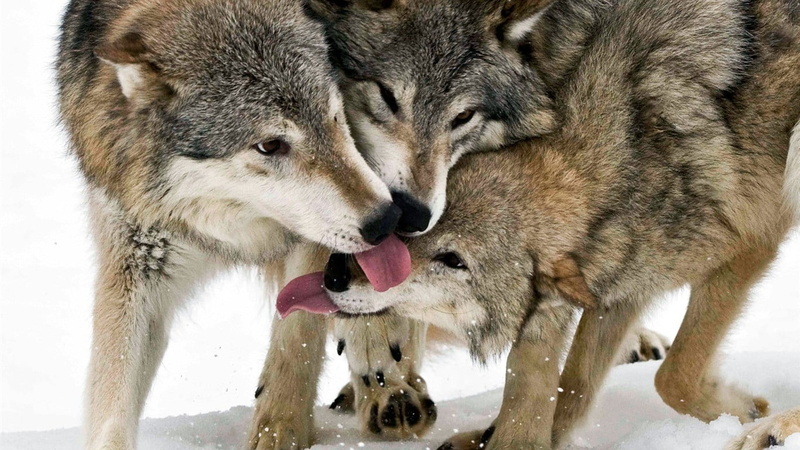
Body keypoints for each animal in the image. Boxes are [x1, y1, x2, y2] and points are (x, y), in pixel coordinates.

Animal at [56, 0, 413, 448]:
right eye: (270, 145)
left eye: (334, 117)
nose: (385, 220)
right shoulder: (136, 261)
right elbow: (111, 401)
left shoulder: (315, 240)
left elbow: (295, 339)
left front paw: (280, 430)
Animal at [279, 0, 800, 448]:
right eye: (405, 235)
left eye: (453, 260)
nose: (335, 274)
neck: (628, 159)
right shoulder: (618, 288)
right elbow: (570, 386)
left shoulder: (746, 251)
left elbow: (673, 376)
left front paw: (746, 409)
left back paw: (772, 429)